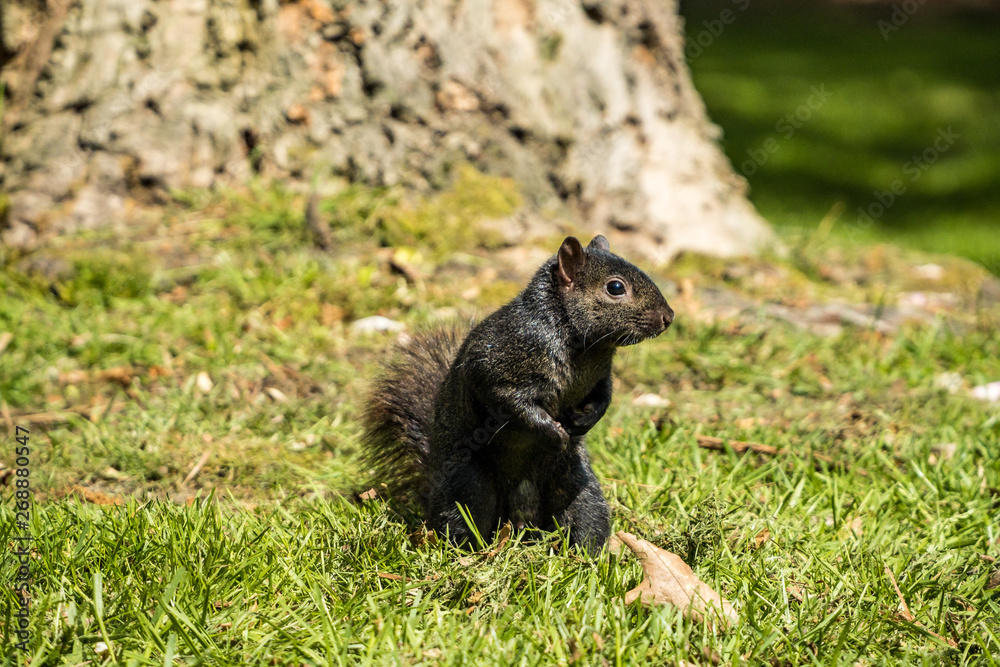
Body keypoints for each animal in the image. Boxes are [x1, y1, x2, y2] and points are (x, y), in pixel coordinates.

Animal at [362, 235, 673, 554]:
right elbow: (513, 403)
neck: (586, 347)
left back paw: (587, 556)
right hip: (470, 488)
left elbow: (604, 397)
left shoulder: (602, 378)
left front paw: (585, 421)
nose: (668, 317)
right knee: (461, 522)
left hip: (576, 485)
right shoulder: (499, 366)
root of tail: (521, 519)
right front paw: (555, 433)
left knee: (586, 519)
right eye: (616, 287)